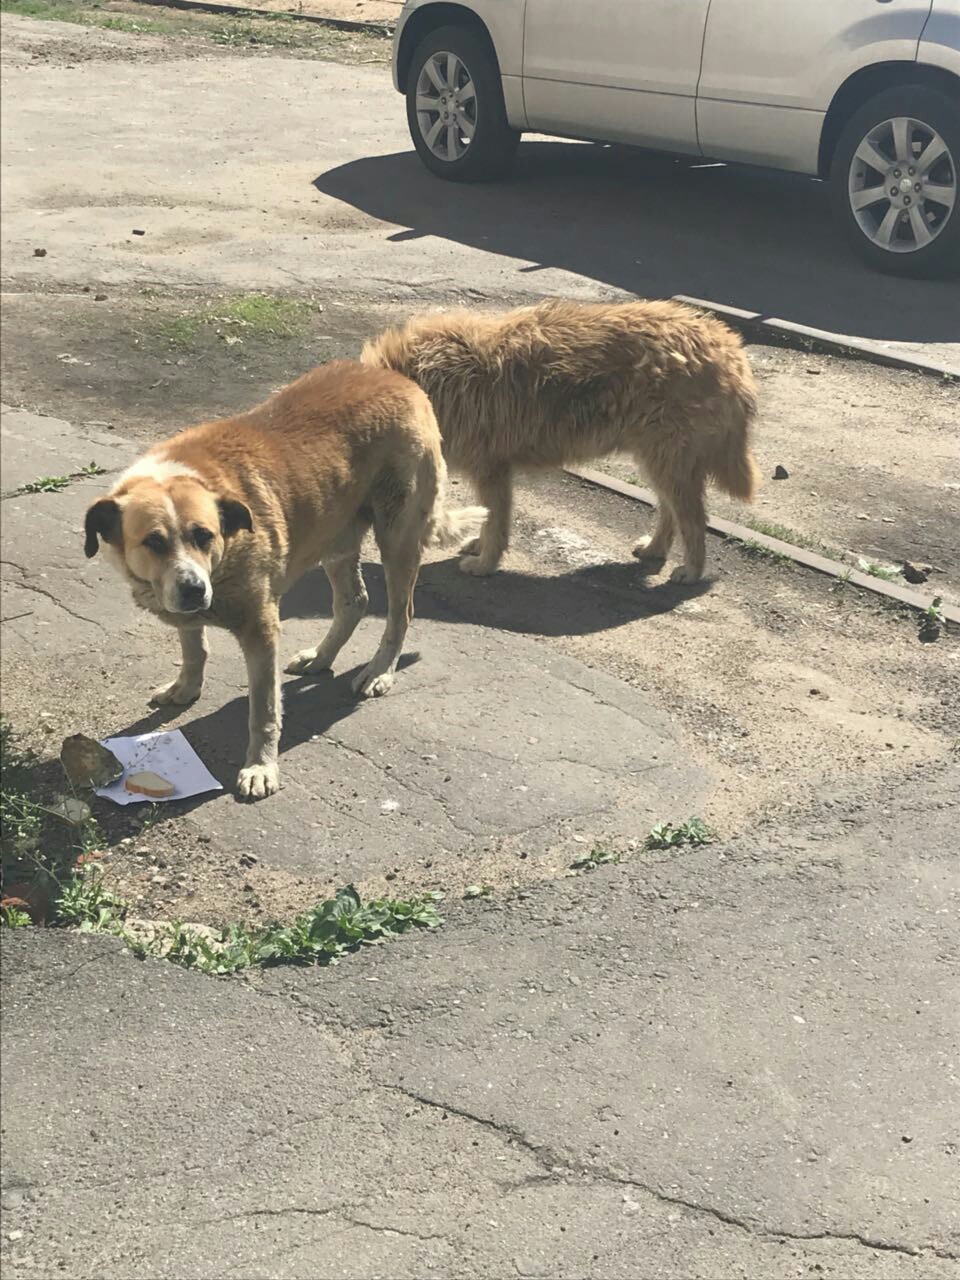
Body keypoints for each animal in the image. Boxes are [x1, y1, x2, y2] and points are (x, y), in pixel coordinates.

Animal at [84, 363, 481, 798]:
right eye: (153, 541)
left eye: (204, 535)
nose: (194, 590)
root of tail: (396, 378)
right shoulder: (186, 612)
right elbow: (194, 649)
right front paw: (185, 688)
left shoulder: (261, 632)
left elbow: (264, 710)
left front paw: (261, 767)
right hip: (335, 537)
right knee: (354, 601)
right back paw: (321, 657)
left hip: (398, 535)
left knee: (400, 613)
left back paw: (379, 671)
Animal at [363, 296, 762, 578]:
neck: (423, 378)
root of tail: (727, 345)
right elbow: (492, 517)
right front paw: (480, 545)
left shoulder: (491, 467)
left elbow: (497, 519)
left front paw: (486, 562)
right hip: (656, 455)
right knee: (670, 510)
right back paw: (655, 548)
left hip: (669, 456)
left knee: (692, 517)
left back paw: (692, 569)